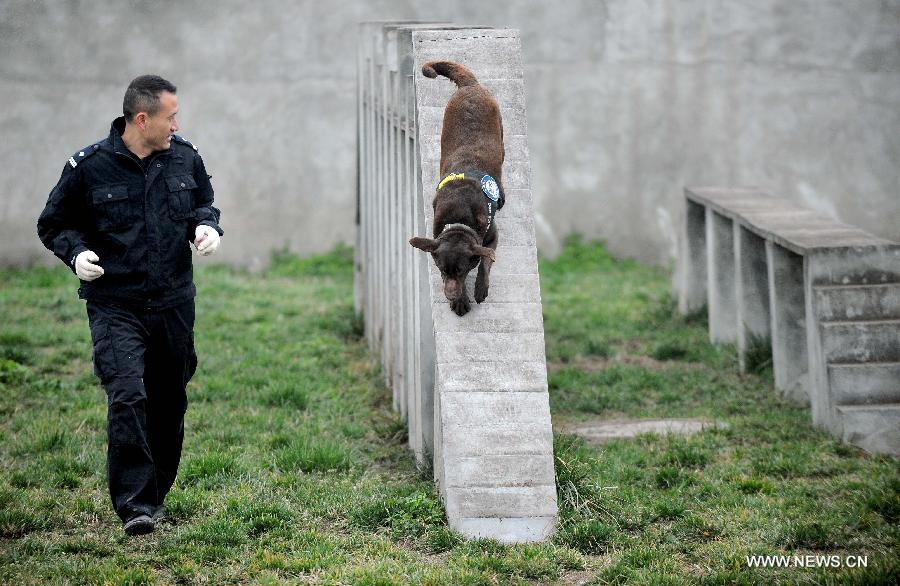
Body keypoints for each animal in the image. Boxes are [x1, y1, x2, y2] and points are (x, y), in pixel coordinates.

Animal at [410, 60, 502, 314]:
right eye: (442, 270)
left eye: (462, 271)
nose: (450, 295)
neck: (459, 219)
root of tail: (470, 86)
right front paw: (460, 300)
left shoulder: (492, 236)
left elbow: (486, 261)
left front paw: (479, 289)